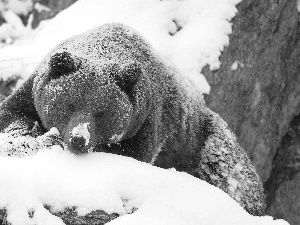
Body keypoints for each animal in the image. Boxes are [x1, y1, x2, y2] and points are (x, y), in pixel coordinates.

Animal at [0, 22, 264, 216]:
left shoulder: (147, 122)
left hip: (201, 142)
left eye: (101, 112)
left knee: (232, 174)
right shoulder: (32, 92)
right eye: (70, 103)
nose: (79, 139)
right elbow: (13, 116)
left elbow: (130, 154)